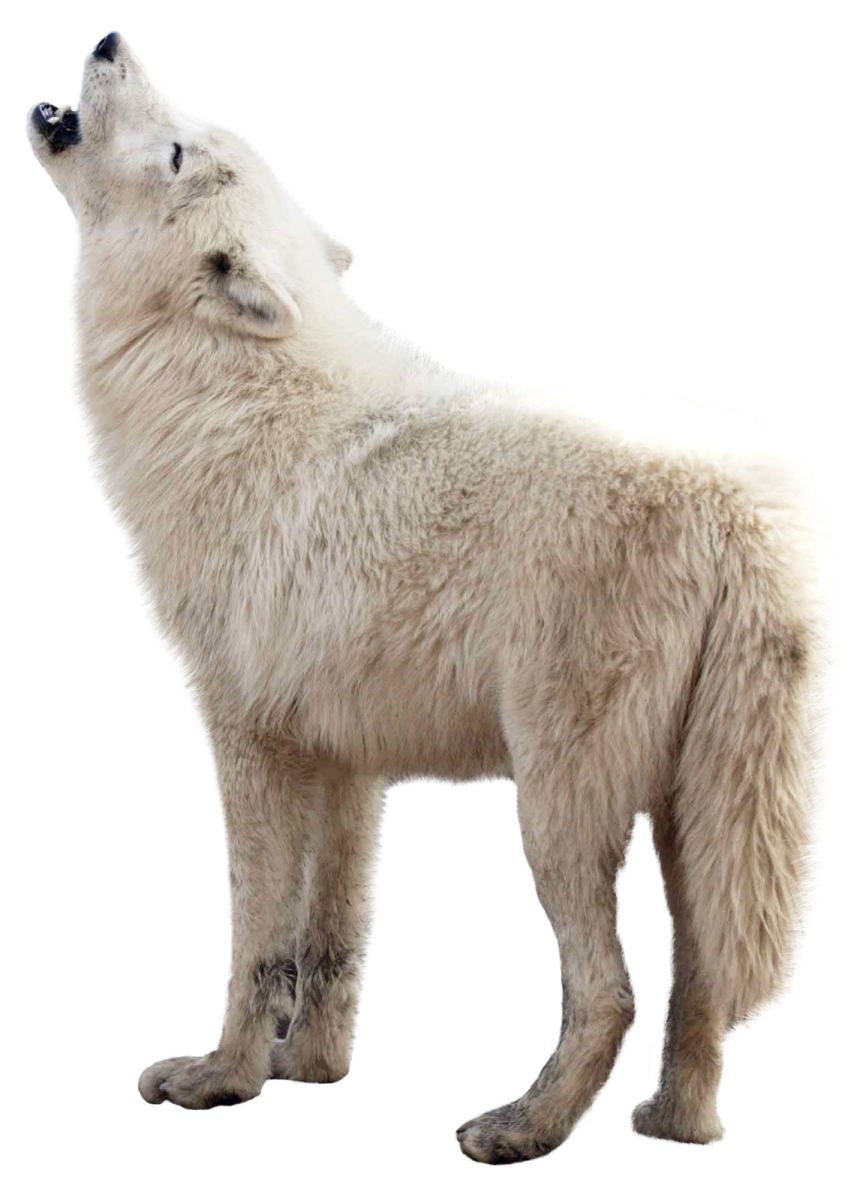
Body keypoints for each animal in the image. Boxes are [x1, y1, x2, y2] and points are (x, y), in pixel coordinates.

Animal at [26, 30, 841, 1159]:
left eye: (184, 147)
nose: (110, 40)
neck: (224, 401)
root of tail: (753, 502)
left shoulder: (245, 745)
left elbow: (254, 948)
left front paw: (219, 1081)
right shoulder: (345, 767)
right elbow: (333, 944)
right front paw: (313, 1072)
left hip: (555, 805)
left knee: (612, 992)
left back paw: (520, 1129)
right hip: (690, 812)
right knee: (703, 977)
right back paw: (674, 1126)